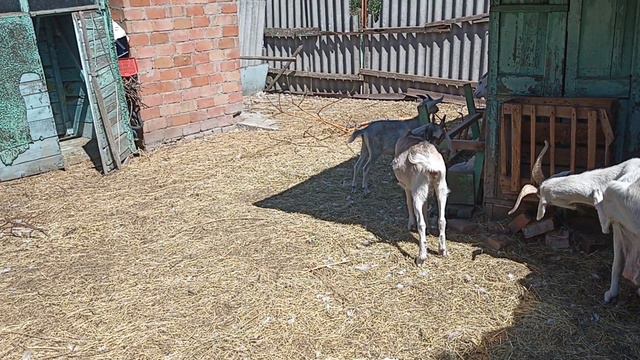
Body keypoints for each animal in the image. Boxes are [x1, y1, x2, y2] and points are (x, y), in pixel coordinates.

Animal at [392, 131, 448, 266]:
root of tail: (429, 164)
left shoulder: (407, 187)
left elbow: (408, 203)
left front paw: (410, 224)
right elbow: (425, 207)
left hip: (418, 188)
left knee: (420, 223)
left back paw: (421, 258)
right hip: (441, 186)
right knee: (442, 219)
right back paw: (442, 250)